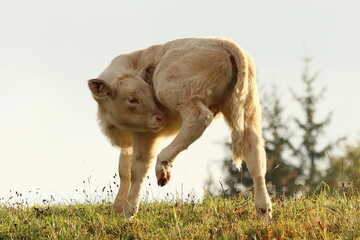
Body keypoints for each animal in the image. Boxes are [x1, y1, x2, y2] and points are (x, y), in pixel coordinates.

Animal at [88, 37, 272, 219]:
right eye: (132, 99)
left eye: (149, 94)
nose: (160, 117)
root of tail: (223, 42)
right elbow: (124, 171)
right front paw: (118, 207)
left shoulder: (146, 133)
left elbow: (137, 169)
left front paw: (129, 211)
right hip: (248, 108)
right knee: (254, 151)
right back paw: (263, 210)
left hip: (176, 92)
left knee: (199, 118)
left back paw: (163, 166)